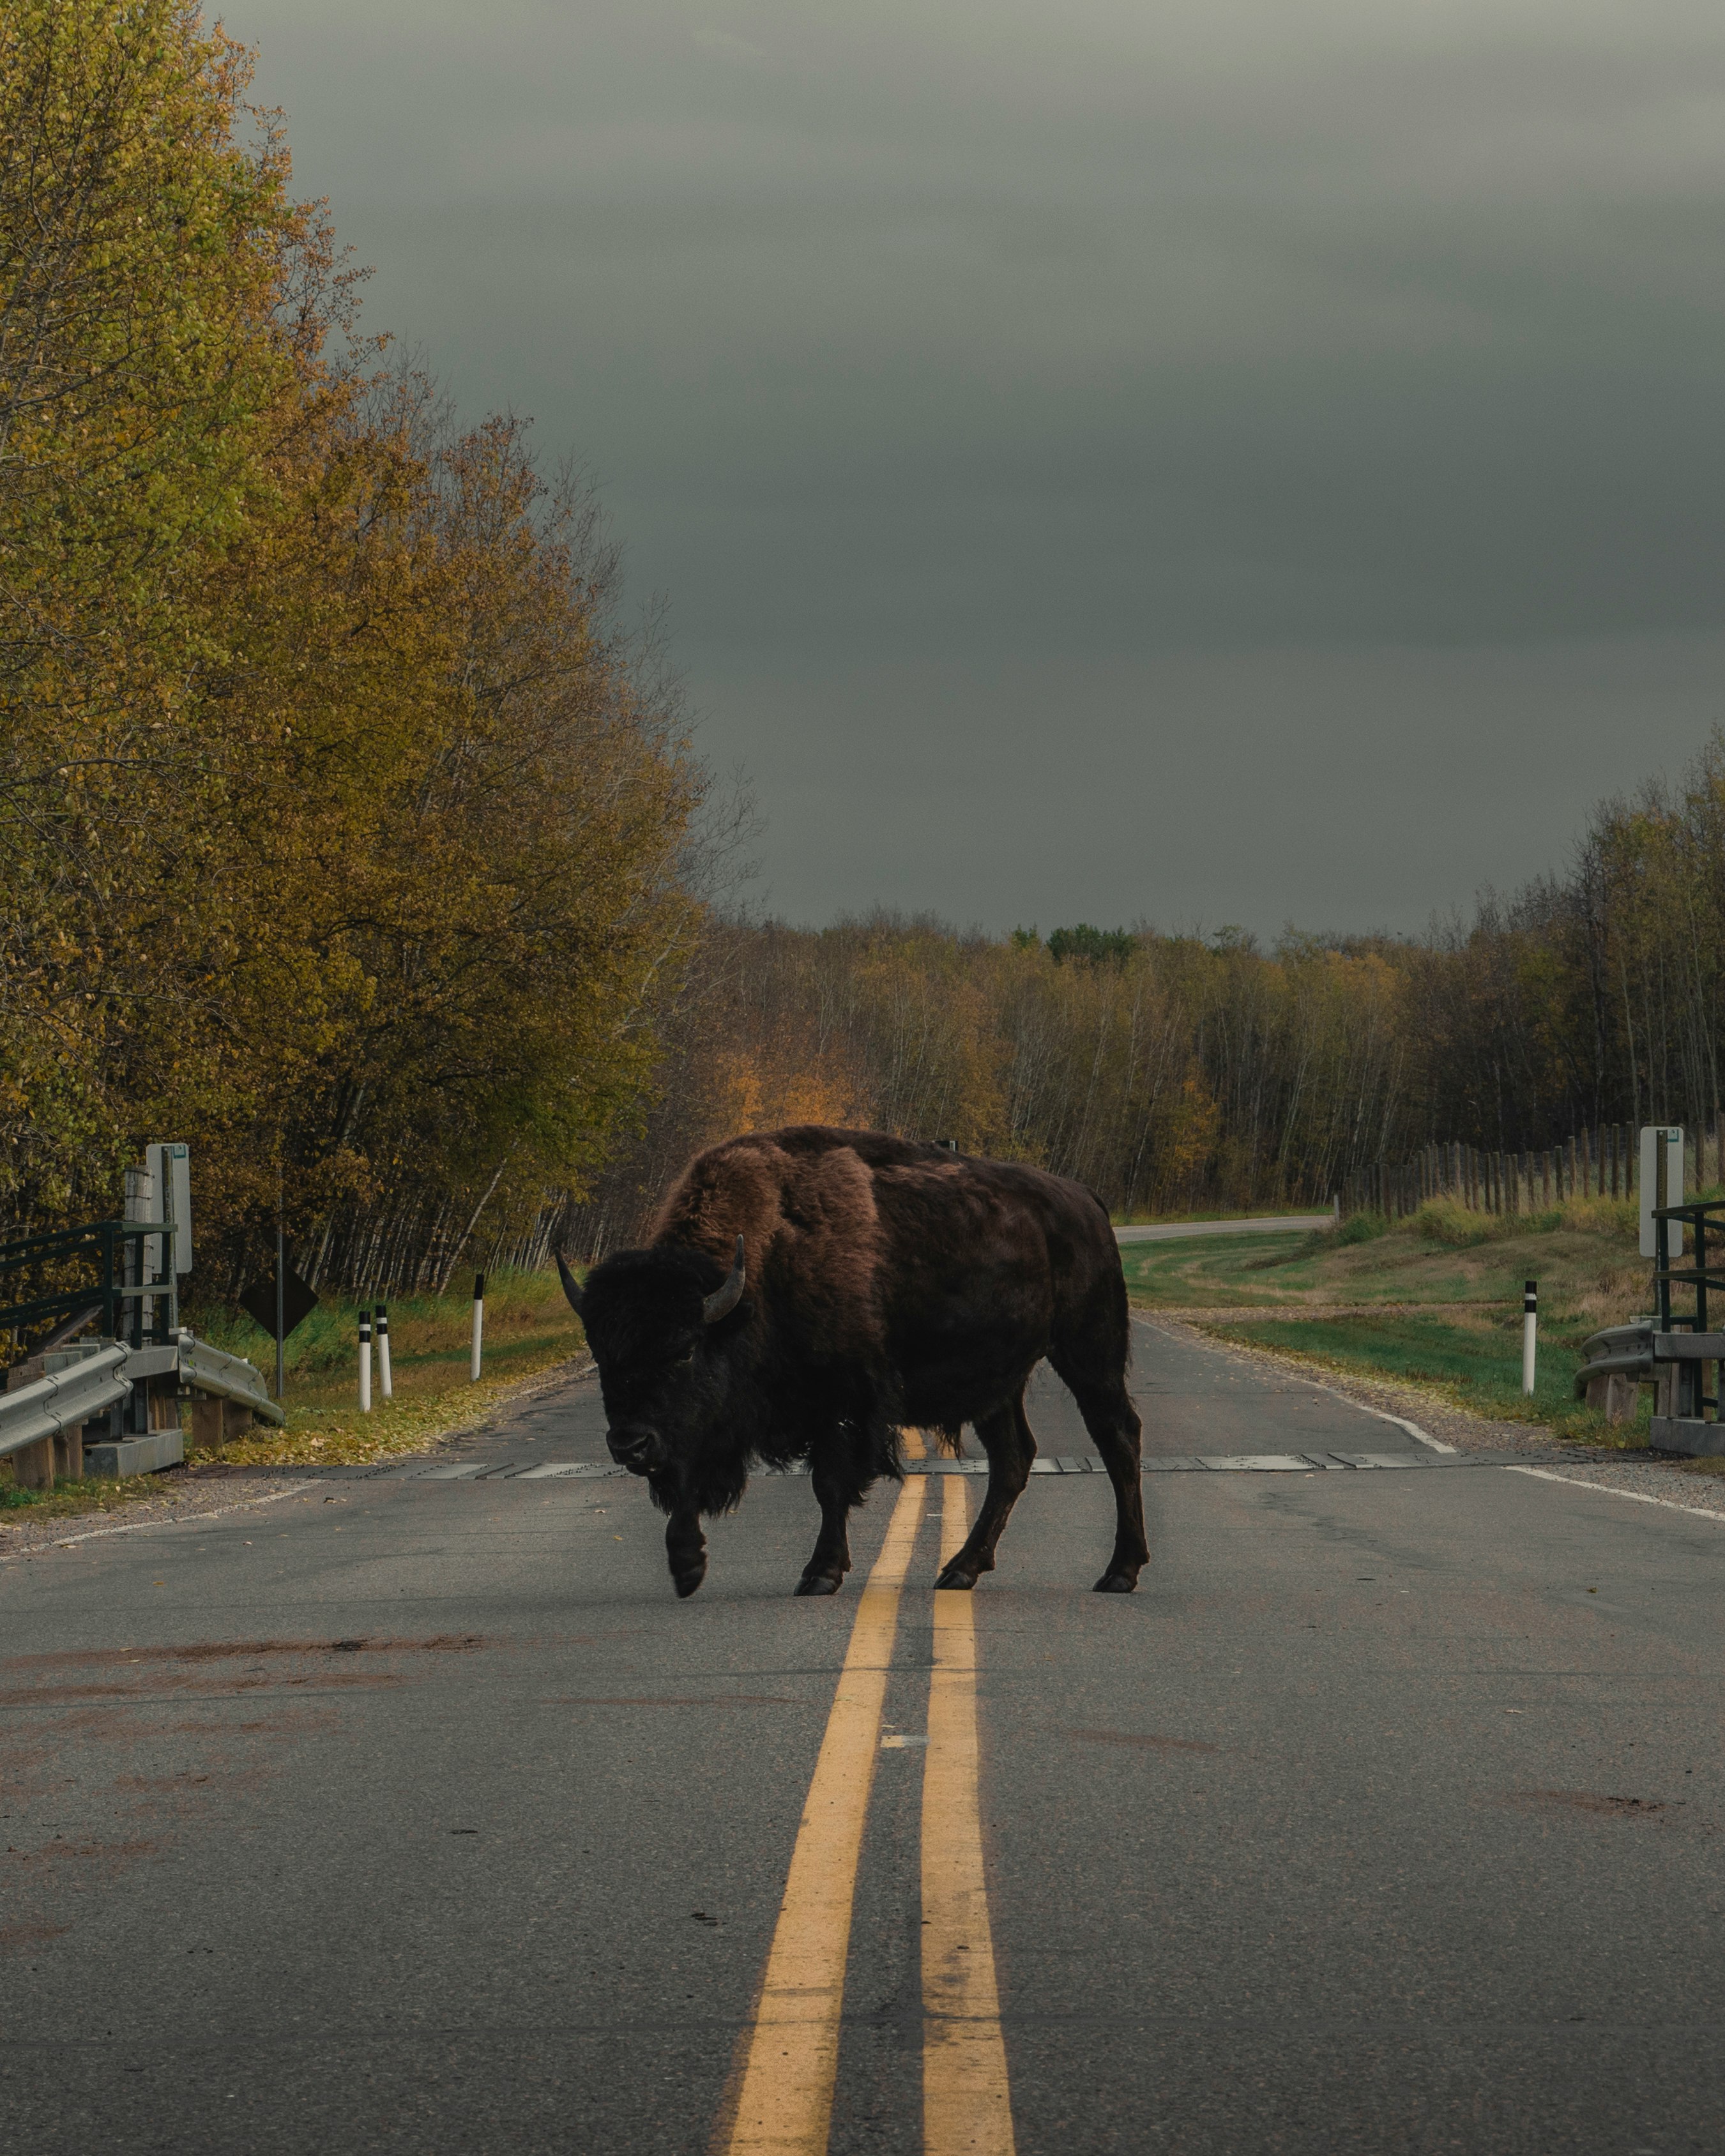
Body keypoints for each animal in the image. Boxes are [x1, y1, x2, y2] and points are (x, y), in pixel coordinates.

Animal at [560, 1130, 1147, 1604]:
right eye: (601, 1354)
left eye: (683, 1349)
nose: (627, 1445)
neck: (761, 1270)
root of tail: (1086, 1201)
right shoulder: (699, 1429)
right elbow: (685, 1478)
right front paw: (686, 1569)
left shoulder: (841, 1404)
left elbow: (829, 1485)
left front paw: (820, 1573)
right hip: (998, 1384)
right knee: (1013, 1458)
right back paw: (960, 1570)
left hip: (1088, 1349)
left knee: (1117, 1437)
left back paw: (1120, 1572)